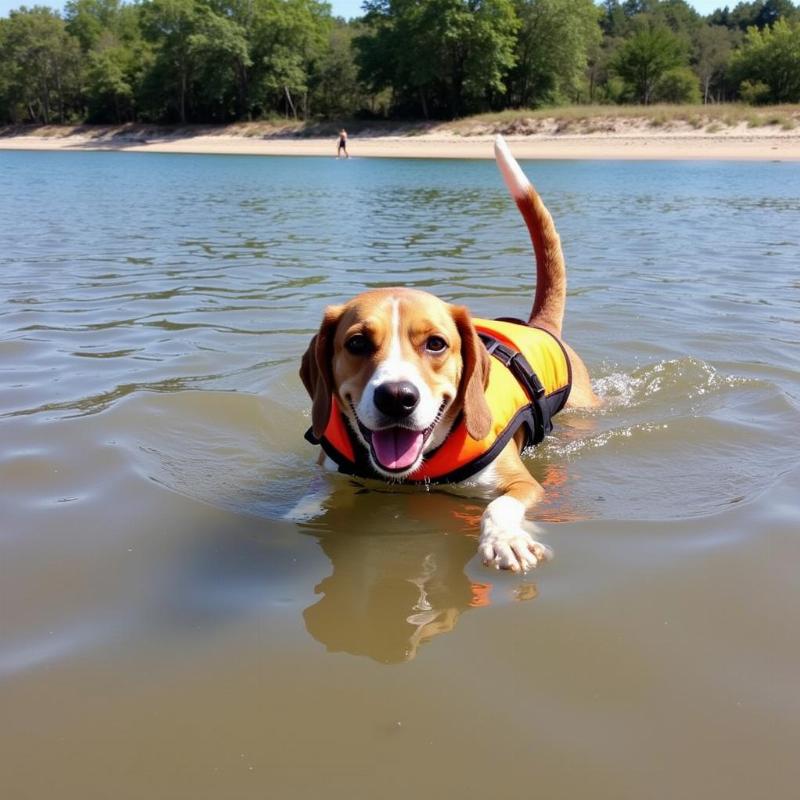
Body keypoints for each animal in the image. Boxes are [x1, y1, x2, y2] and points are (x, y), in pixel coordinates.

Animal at [302, 139, 600, 576]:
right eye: (356, 343)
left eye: (436, 344)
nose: (397, 397)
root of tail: (538, 323)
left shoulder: (524, 484)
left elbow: (500, 504)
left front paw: (505, 539)